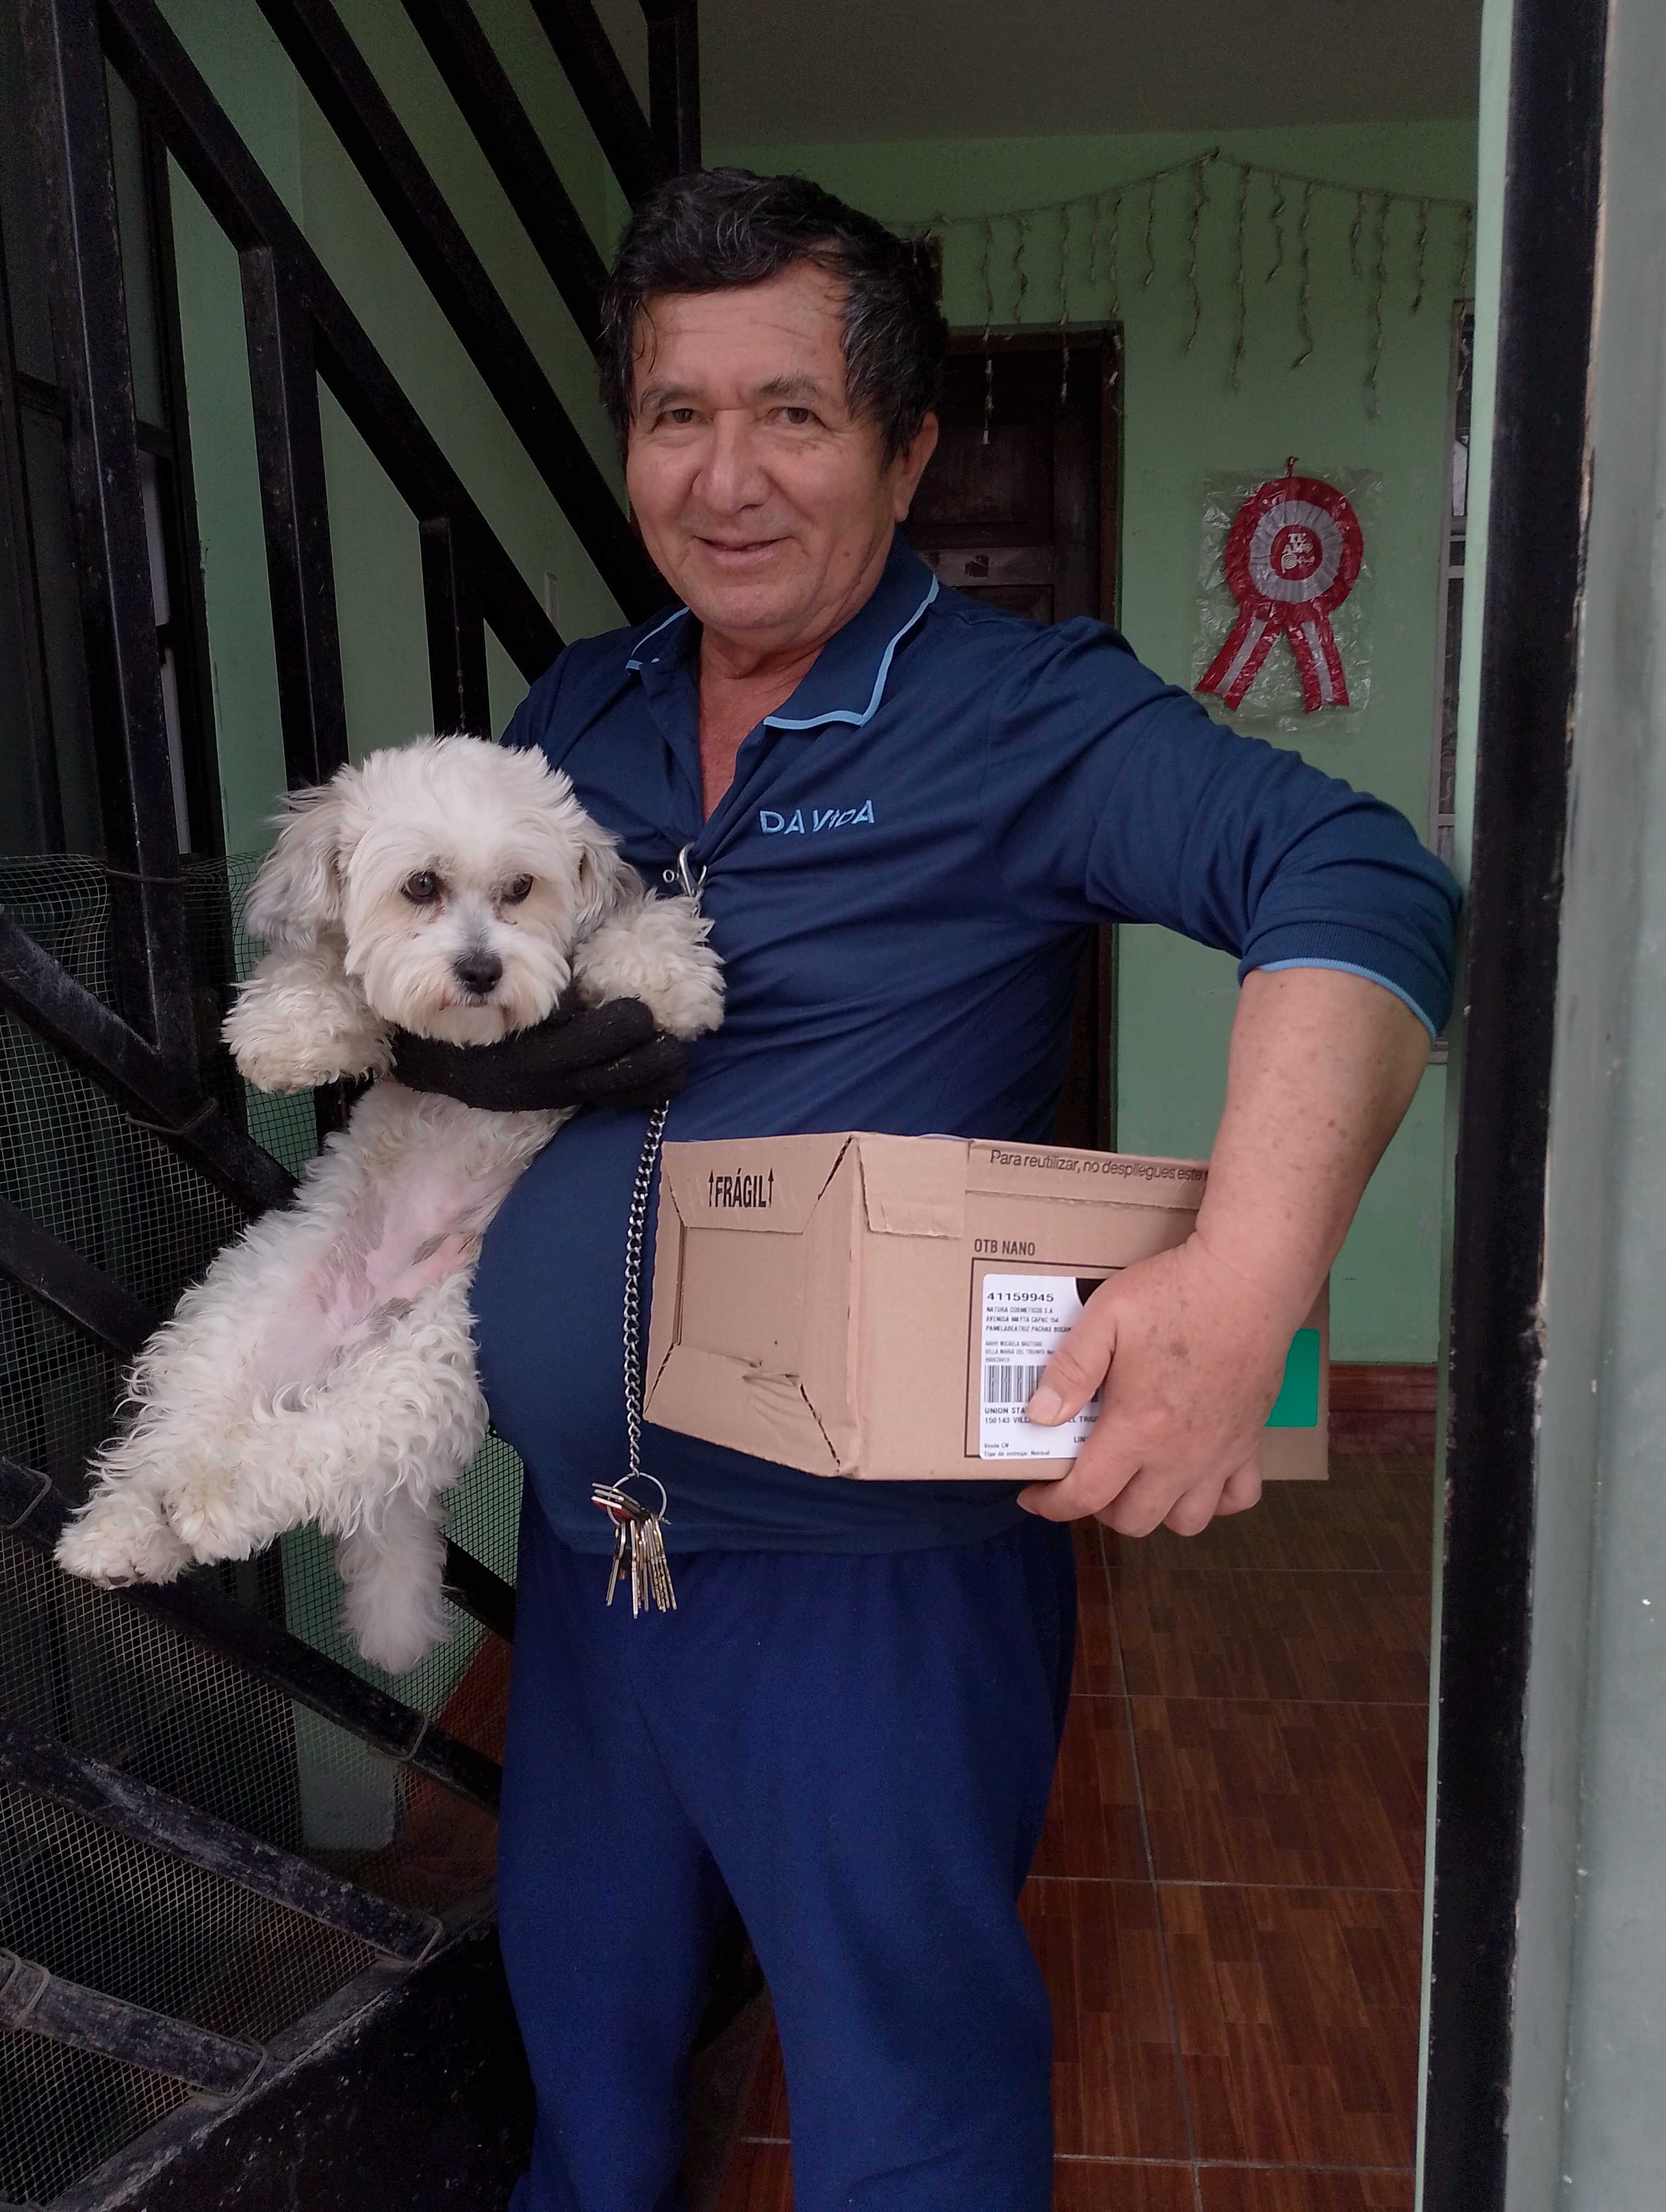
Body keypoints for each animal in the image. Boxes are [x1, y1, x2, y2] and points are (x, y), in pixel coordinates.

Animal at [55, 736, 723, 1673]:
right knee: (173, 1441)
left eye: (522, 888)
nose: (480, 970)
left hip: (428, 1362)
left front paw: (659, 970)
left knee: (312, 1450)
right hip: (230, 1328)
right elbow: (321, 958)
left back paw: (206, 1506)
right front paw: (288, 1032)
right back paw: (120, 1533)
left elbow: (636, 926)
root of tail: (351, 1340)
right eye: (421, 886)